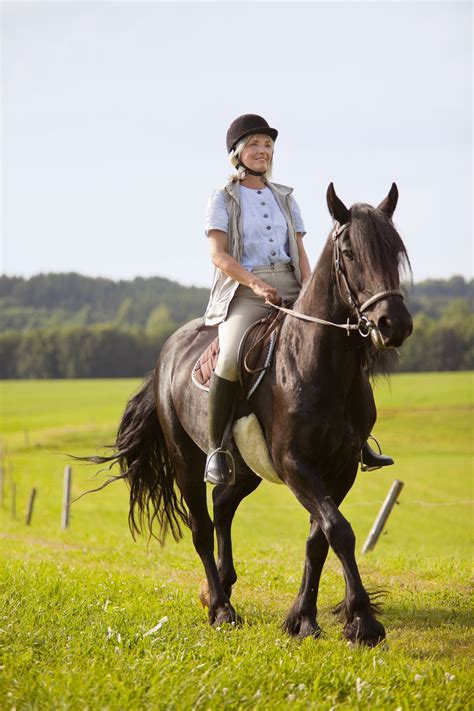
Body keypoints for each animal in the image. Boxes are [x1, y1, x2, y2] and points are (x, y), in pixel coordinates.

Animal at [88, 182, 412, 646]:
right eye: (349, 252)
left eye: (395, 250)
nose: (393, 325)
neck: (317, 365)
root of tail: (169, 349)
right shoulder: (296, 464)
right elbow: (339, 530)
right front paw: (363, 622)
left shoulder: (342, 467)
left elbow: (319, 538)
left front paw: (304, 619)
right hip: (187, 460)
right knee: (202, 527)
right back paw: (222, 609)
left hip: (244, 469)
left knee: (223, 504)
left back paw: (220, 588)